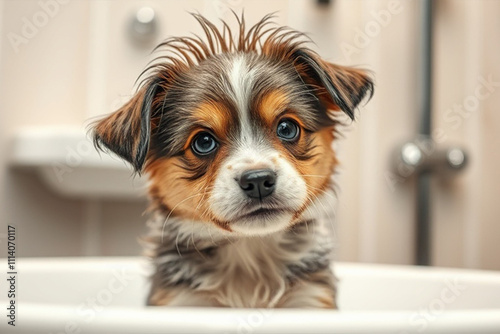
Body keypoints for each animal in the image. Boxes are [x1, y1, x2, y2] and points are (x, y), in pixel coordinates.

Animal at [92, 14, 372, 310]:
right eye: (203, 141)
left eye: (287, 128)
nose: (258, 180)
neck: (249, 253)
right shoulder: (180, 301)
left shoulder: (310, 298)